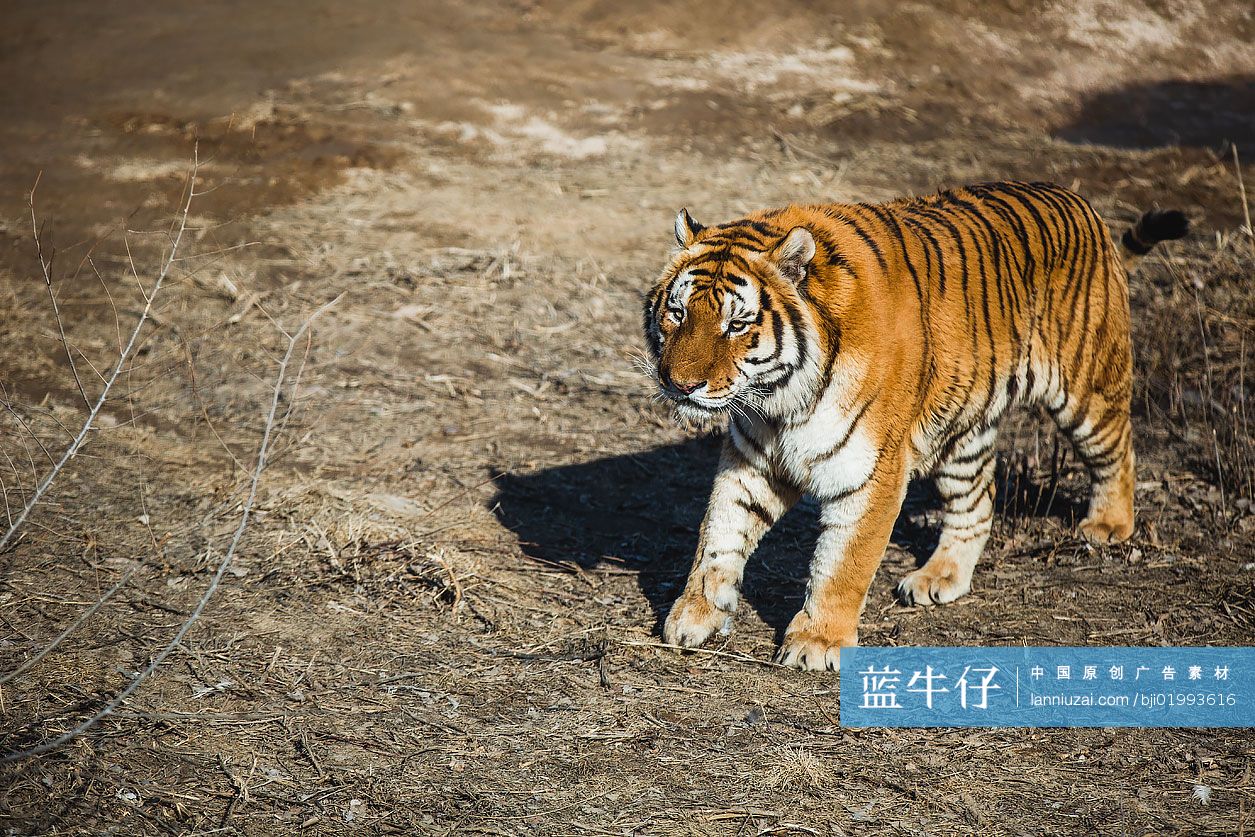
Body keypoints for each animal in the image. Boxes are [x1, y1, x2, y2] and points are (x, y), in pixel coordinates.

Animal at [641, 181, 1188, 671]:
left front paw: (817, 642)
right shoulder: (751, 463)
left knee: (1119, 448)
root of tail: (1084, 206)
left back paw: (1109, 526)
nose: (681, 384)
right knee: (977, 503)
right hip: (963, 434)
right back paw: (938, 578)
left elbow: (843, 564)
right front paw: (694, 616)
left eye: (737, 324)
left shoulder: (871, 472)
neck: (780, 401)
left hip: (1085, 389)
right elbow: (718, 538)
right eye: (678, 312)